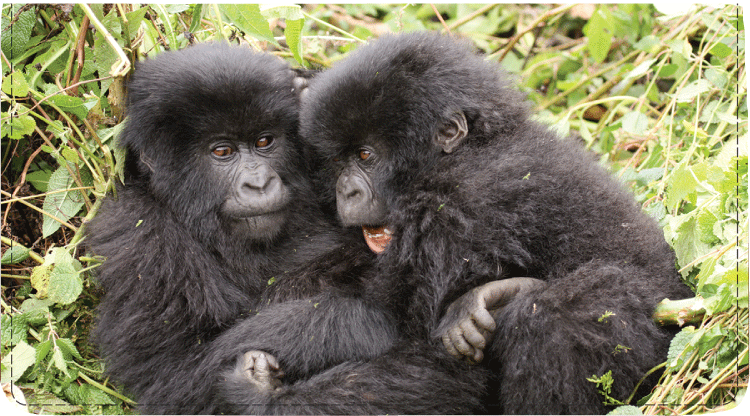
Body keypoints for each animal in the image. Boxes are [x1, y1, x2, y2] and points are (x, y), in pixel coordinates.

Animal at [296, 33, 696, 416]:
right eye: (338, 160)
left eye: (366, 155)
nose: (345, 192)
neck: (473, 145)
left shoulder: (456, 204)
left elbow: (400, 334)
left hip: (655, 325)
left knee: (557, 318)